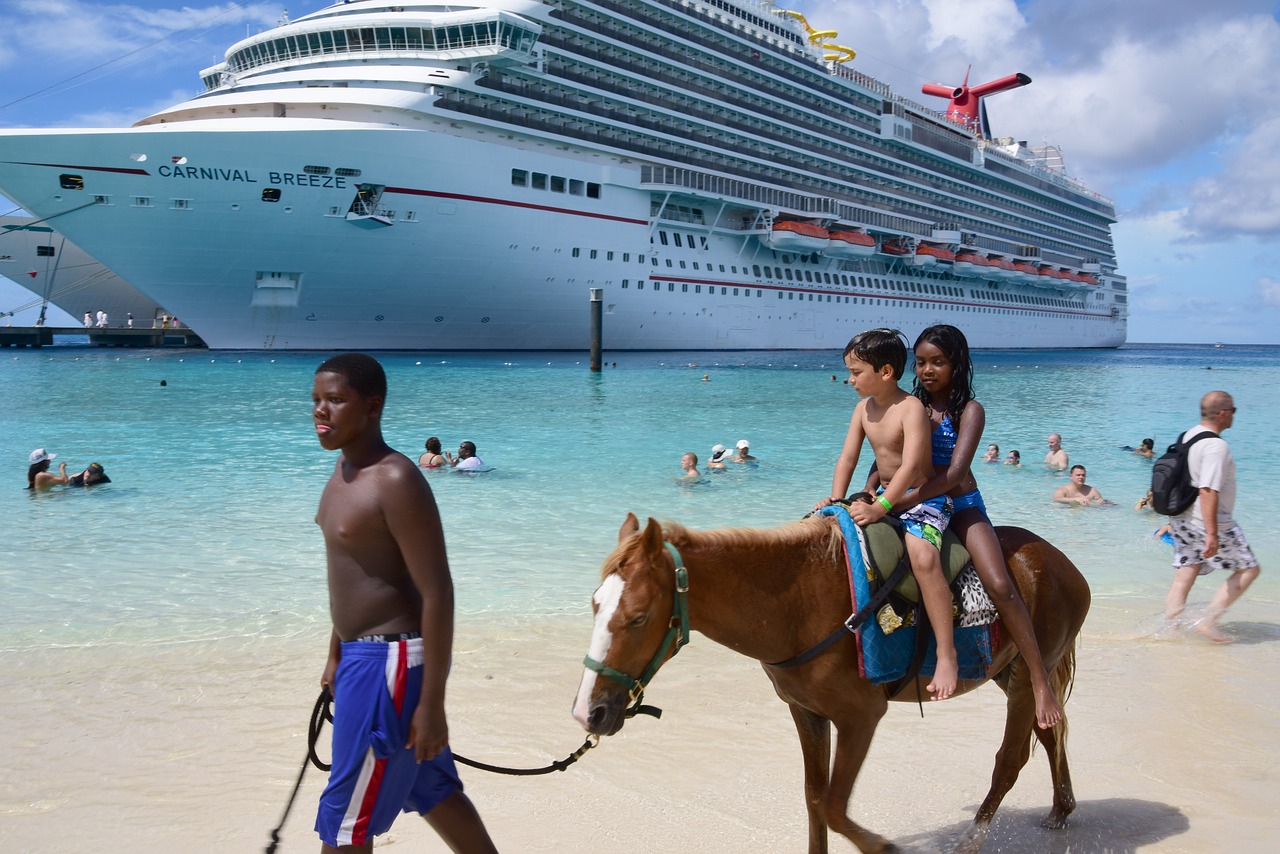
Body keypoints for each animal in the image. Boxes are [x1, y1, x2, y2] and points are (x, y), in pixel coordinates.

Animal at [570, 514, 1090, 854]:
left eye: (638, 617)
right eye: (595, 604)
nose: (587, 712)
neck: (796, 605)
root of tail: (1063, 564)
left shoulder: (861, 718)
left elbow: (836, 807)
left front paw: (885, 848)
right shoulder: (807, 712)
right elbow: (816, 801)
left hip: (1026, 678)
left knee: (1011, 760)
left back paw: (970, 841)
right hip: (1014, 675)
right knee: (1051, 732)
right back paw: (1061, 809)